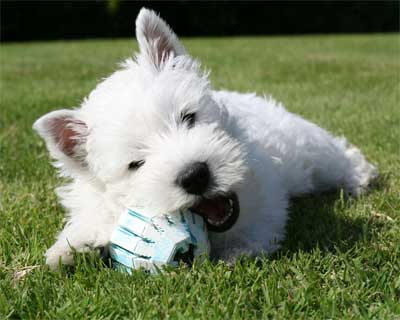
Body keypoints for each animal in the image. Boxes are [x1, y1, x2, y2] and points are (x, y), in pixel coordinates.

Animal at [32, 7, 376, 268]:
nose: (194, 176)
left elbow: (261, 221)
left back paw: (360, 177)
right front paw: (74, 248)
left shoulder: (265, 191)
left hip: (308, 150)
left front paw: (239, 251)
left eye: (188, 117)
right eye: (136, 164)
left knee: (337, 156)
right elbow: (94, 215)